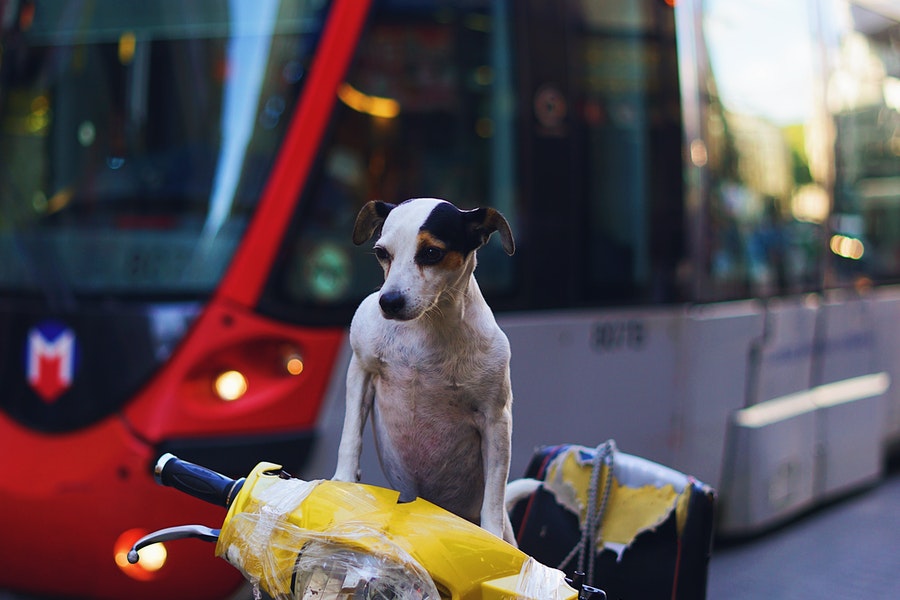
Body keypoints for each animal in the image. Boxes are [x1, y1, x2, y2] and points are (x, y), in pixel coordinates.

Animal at [334, 198, 516, 544]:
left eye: (431, 253)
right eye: (381, 252)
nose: (389, 301)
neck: (425, 330)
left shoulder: (496, 419)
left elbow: (495, 494)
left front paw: (490, 535)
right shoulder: (360, 370)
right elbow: (350, 435)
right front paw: (342, 481)